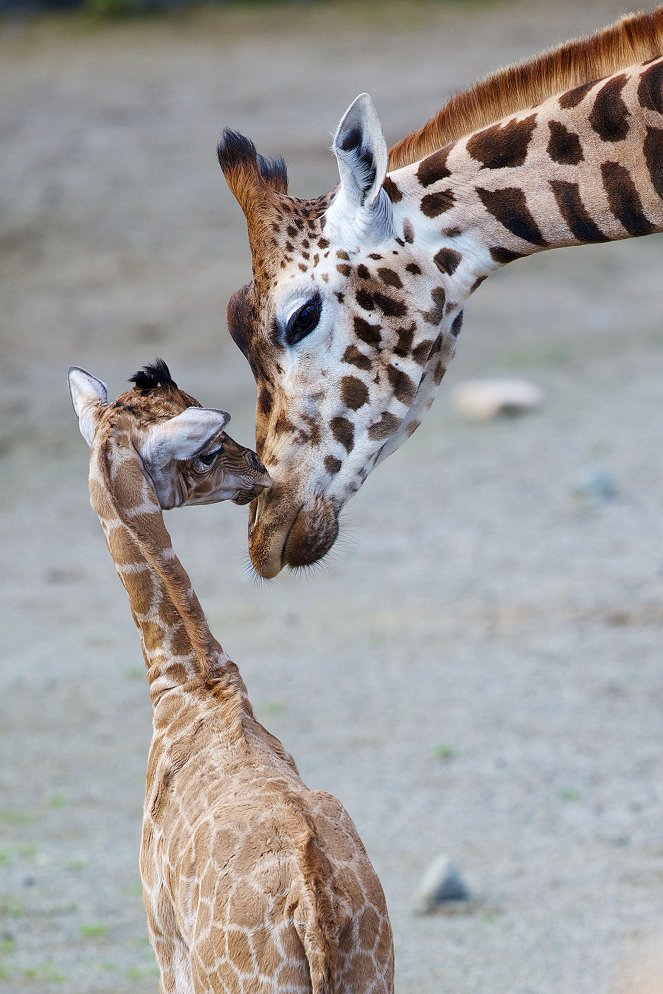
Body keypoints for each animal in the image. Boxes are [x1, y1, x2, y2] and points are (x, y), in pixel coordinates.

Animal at [68, 360, 394, 992]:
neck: (189, 684)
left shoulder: (164, 939)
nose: (261, 472)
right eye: (210, 451)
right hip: (376, 971)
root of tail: (315, 912)